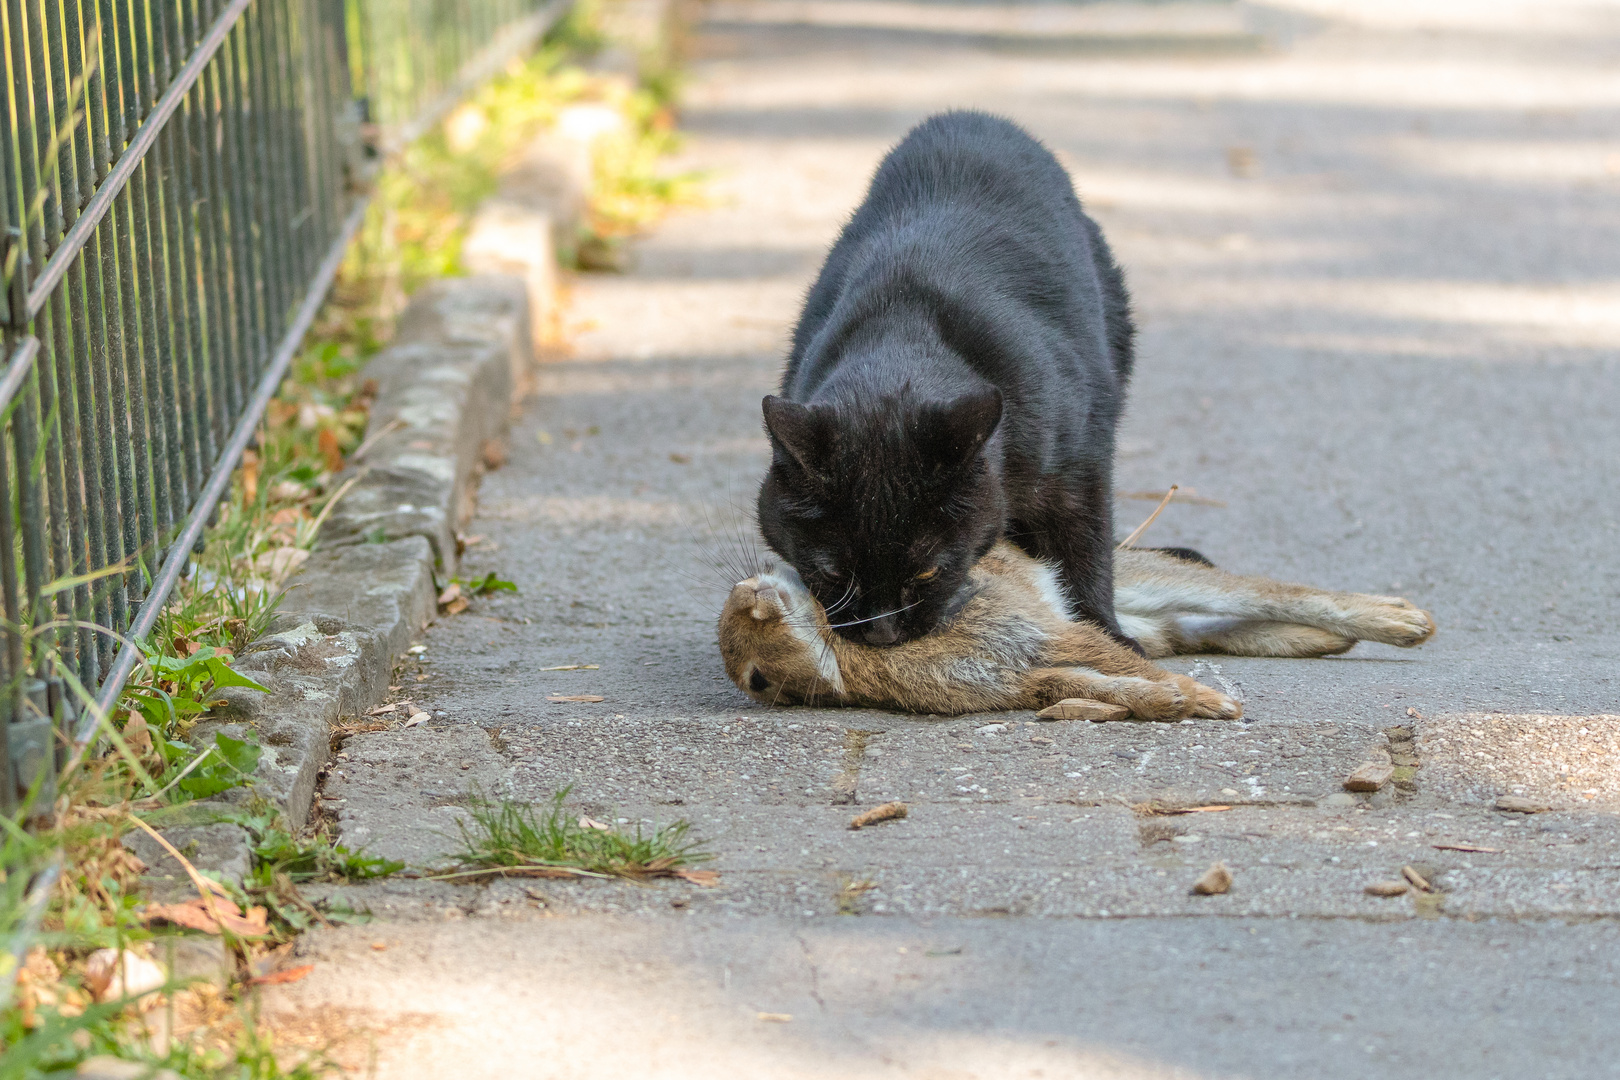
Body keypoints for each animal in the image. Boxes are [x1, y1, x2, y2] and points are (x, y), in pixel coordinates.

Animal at [751, 110, 1134, 650]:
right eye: (832, 572)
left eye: (928, 572)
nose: (883, 632)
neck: (903, 332)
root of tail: (972, 117)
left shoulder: (1078, 466)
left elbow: (1085, 547)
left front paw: (1105, 632)